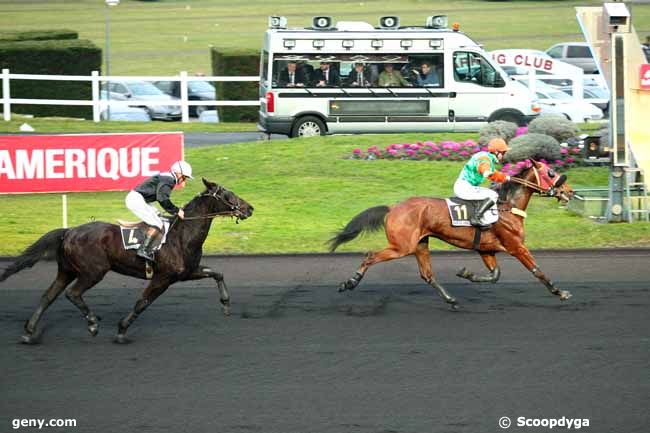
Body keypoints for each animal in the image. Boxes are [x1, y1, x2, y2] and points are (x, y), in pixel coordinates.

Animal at [0, 177, 253, 342]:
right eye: (228, 194)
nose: (249, 208)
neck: (182, 234)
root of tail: (69, 231)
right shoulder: (163, 277)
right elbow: (142, 302)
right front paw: (121, 330)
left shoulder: (187, 272)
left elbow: (217, 273)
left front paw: (226, 304)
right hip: (93, 271)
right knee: (72, 293)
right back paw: (92, 323)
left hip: (67, 270)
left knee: (48, 296)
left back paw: (29, 331)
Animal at [330, 160, 572, 308]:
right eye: (551, 172)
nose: (568, 191)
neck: (507, 207)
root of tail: (393, 207)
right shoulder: (516, 246)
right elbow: (537, 271)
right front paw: (560, 292)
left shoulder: (487, 250)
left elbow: (495, 275)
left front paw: (466, 273)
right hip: (402, 247)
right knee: (371, 256)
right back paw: (349, 282)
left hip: (420, 244)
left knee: (427, 275)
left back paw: (450, 299)